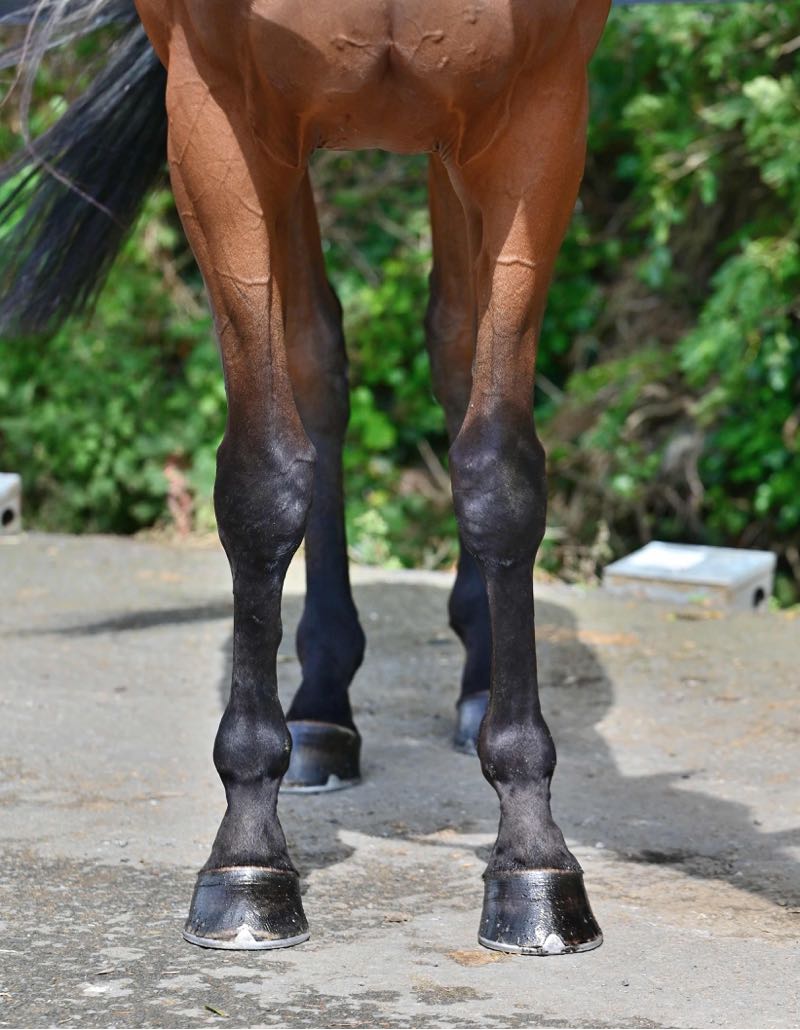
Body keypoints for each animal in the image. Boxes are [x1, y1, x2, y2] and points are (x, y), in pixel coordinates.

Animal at [0, 0, 619, 955]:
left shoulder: (539, 117)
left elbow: (500, 475)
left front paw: (533, 858)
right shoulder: (220, 119)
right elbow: (261, 480)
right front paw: (247, 858)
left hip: (456, 143)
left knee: (452, 346)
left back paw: (477, 681)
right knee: (318, 362)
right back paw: (322, 703)